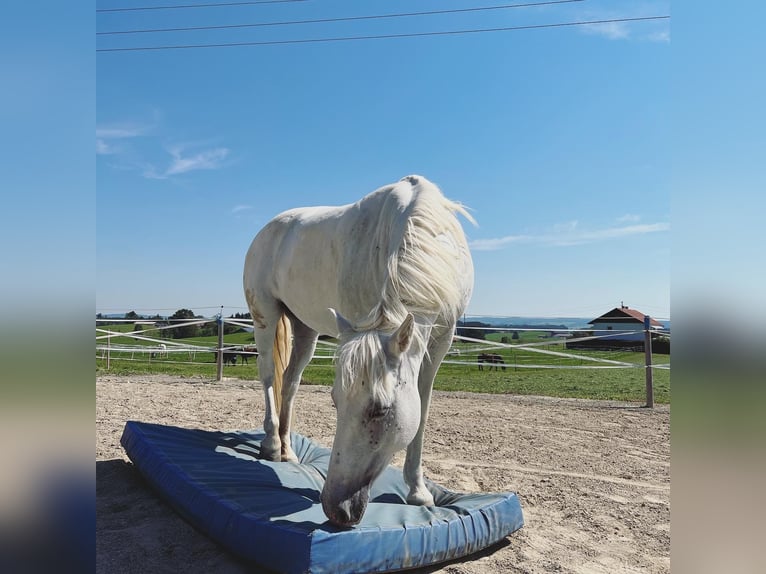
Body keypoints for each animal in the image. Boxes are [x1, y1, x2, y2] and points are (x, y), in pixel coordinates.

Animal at [244, 174, 474, 528]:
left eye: (379, 410)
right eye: (334, 402)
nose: (335, 509)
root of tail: (268, 228)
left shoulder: (440, 341)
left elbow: (422, 407)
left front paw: (418, 491)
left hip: (305, 328)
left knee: (290, 382)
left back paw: (287, 449)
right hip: (265, 318)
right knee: (269, 375)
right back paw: (270, 445)